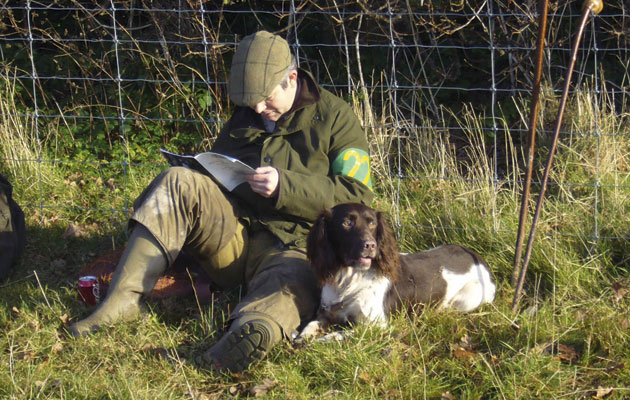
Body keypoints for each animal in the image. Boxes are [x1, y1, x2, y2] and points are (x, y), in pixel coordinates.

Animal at [300, 205, 498, 340]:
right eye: (346, 223)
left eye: (372, 223)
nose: (370, 245)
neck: (349, 280)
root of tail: (478, 258)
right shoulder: (326, 314)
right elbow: (310, 326)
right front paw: (301, 338)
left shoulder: (376, 325)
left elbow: (338, 335)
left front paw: (318, 342)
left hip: (466, 300)